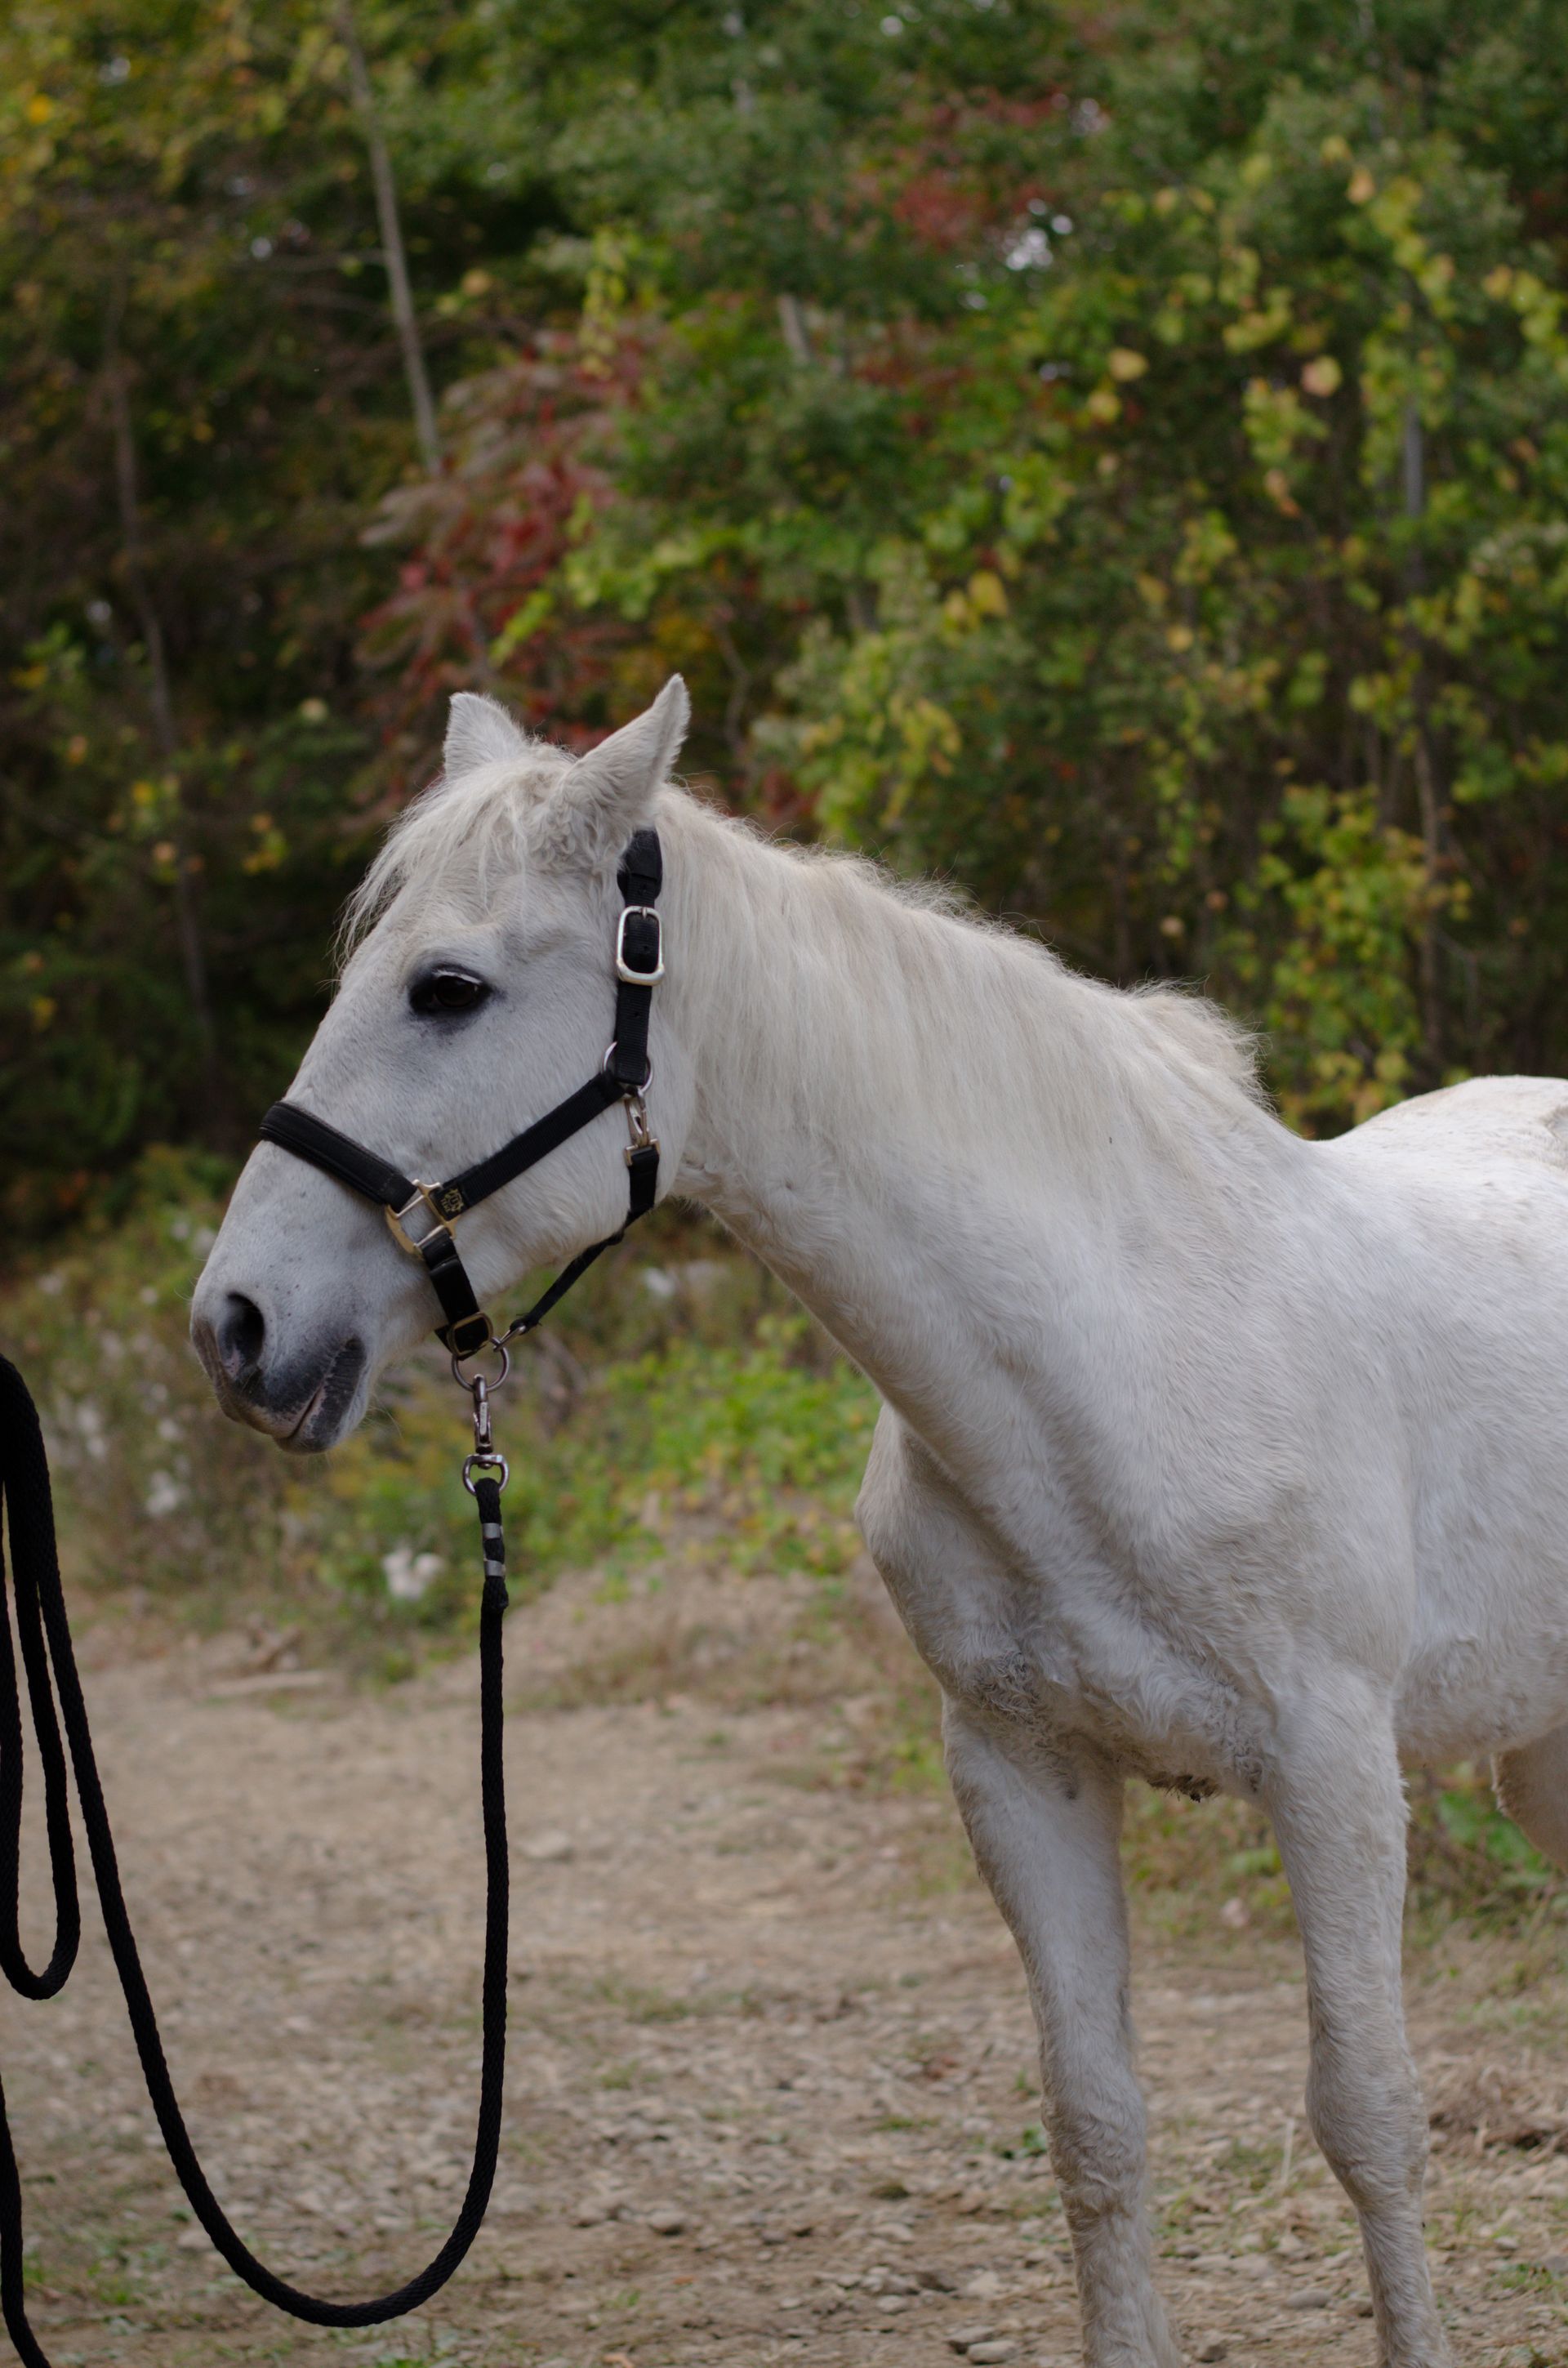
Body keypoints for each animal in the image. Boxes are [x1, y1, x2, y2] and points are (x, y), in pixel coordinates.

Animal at [192, 675, 1568, 2368]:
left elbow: (1370, 2116)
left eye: (447, 988)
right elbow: (1096, 2126)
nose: (237, 1327)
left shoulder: (1335, 1770)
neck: (1117, 1355)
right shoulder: (1022, 1769)